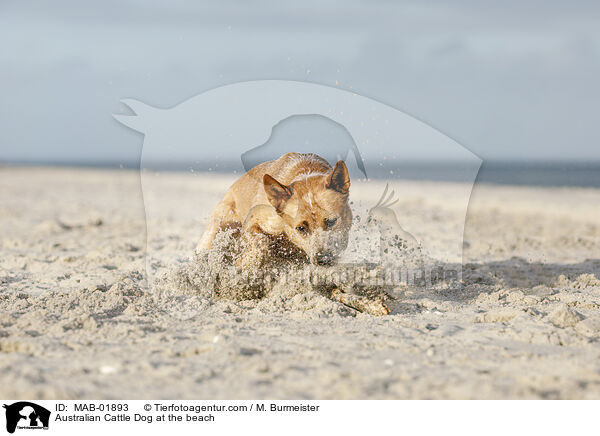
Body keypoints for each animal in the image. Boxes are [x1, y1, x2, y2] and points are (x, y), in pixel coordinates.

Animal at [199, 153, 352, 270]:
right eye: (301, 228)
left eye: (332, 221)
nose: (323, 259)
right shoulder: (256, 219)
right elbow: (261, 242)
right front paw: (245, 261)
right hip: (218, 228)